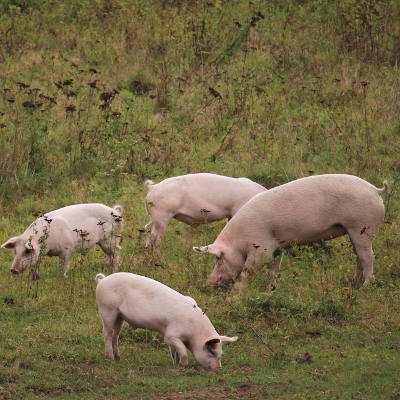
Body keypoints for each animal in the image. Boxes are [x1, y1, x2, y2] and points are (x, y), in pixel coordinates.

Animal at [95, 272, 238, 372]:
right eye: (212, 352)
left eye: (220, 353)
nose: (218, 369)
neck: (193, 334)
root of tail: (103, 280)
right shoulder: (171, 334)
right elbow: (182, 350)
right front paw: (181, 367)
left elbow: (175, 351)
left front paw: (175, 364)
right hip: (107, 309)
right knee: (107, 334)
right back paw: (110, 358)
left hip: (119, 316)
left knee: (115, 335)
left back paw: (119, 358)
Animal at [192, 173, 386, 290]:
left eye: (218, 258)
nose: (209, 283)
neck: (240, 240)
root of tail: (375, 190)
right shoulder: (277, 247)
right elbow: (273, 269)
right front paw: (270, 290)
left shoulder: (261, 248)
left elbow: (248, 271)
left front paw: (234, 295)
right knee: (359, 256)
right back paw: (354, 282)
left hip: (362, 226)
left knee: (368, 256)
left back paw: (365, 285)